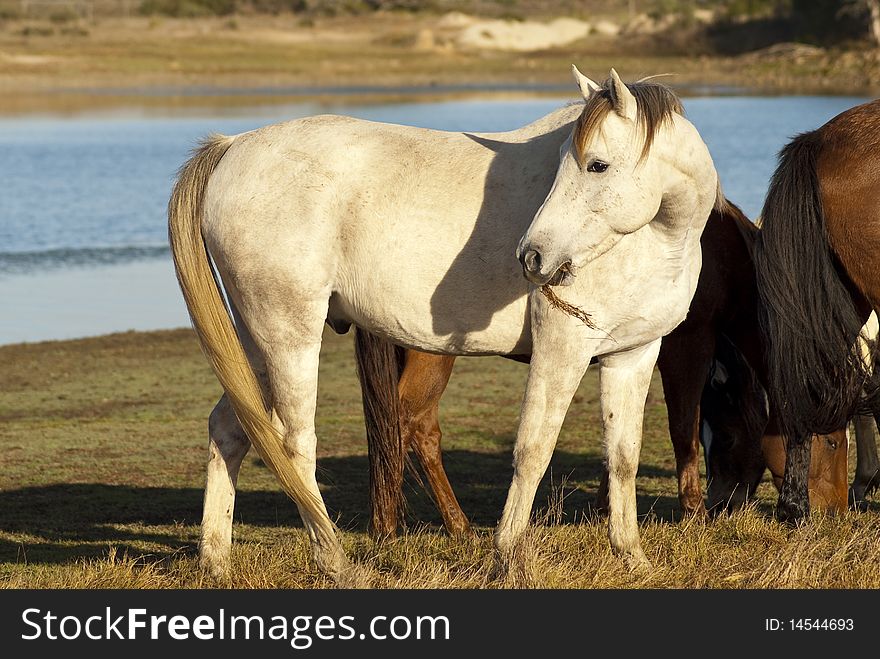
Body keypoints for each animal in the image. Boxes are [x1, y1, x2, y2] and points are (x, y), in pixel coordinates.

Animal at [168, 68, 720, 584]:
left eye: (597, 164)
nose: (532, 257)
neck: (656, 242)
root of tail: (233, 147)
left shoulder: (632, 356)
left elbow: (622, 457)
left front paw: (632, 557)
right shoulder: (562, 350)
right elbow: (533, 450)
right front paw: (508, 557)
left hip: (254, 343)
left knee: (230, 430)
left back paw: (216, 562)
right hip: (289, 335)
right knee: (293, 443)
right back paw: (336, 562)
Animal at [354, 201, 848, 536]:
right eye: (829, 441)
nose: (836, 511)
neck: (715, 254)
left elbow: (617, 434)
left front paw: (605, 509)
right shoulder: (687, 346)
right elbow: (681, 429)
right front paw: (692, 513)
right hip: (432, 358)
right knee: (412, 424)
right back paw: (439, 524)